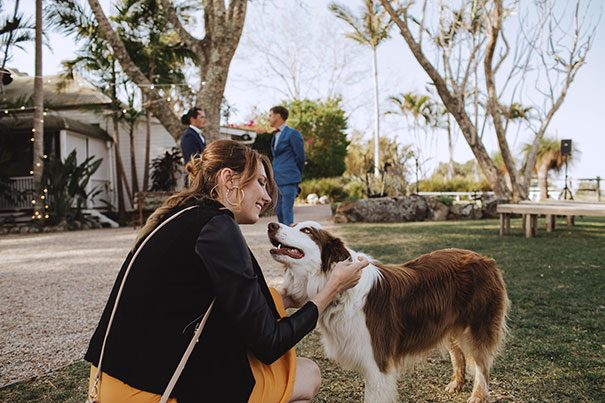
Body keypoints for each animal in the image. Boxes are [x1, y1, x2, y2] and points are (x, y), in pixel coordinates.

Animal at [268, 221, 509, 403]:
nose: (271, 224)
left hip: (478, 325)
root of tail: (486, 259)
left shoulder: (377, 362)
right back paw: (456, 384)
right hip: (447, 323)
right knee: (458, 355)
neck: (336, 289)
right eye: (293, 224)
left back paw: (478, 395)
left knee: (481, 364)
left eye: (307, 231)